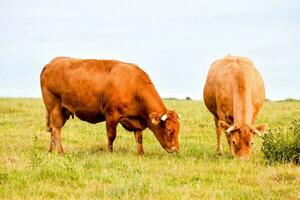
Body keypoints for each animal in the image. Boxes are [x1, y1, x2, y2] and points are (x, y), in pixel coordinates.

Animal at [39, 57, 180, 154]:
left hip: (64, 110)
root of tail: (51, 62)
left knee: (52, 129)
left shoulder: (137, 120)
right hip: (54, 106)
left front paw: (141, 153)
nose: (176, 149)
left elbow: (139, 138)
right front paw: (110, 152)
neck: (134, 86)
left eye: (178, 129)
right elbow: (111, 136)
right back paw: (60, 152)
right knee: (56, 129)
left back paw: (51, 151)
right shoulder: (111, 115)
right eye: (169, 130)